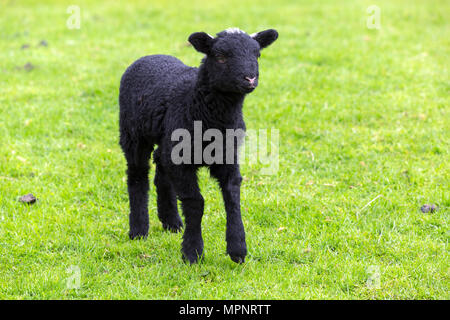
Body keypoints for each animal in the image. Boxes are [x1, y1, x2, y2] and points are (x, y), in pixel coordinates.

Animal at [118, 27, 278, 264]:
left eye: (257, 55)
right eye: (220, 56)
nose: (250, 78)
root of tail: (149, 56)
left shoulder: (227, 155)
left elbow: (232, 197)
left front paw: (237, 248)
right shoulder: (182, 162)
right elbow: (195, 203)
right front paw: (193, 252)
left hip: (167, 141)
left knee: (160, 168)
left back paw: (171, 222)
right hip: (133, 134)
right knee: (137, 175)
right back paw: (138, 230)